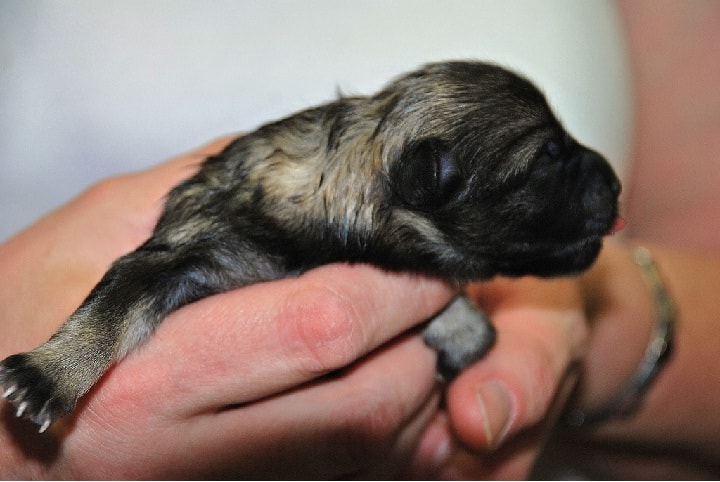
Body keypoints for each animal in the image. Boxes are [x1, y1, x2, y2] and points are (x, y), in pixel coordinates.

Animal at [0, 61, 620, 434]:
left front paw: (462, 327)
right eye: (547, 157)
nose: (615, 182)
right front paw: (48, 374)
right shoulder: (185, 253)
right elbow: (110, 311)